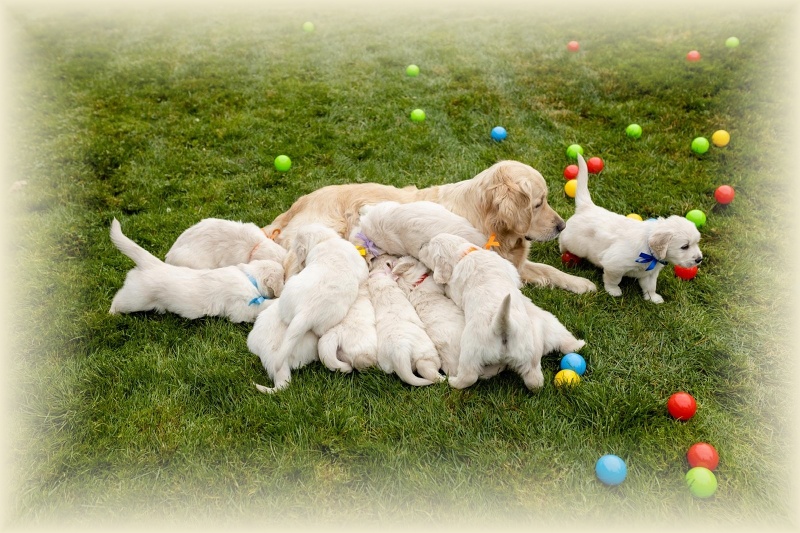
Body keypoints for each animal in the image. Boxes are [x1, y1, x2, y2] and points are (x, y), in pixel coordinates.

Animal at [108, 219, 283, 323]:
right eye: (283, 277)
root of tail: (153, 264)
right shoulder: (241, 309)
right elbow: (261, 306)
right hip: (136, 298)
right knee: (119, 299)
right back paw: (111, 313)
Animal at [263, 161, 596, 293]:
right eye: (538, 203)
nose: (562, 226)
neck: (487, 221)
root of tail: (299, 201)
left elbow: (548, 270)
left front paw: (580, 283)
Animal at [368, 254, 443, 387]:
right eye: (389, 262)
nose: (375, 257)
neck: (382, 286)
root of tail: (399, 354)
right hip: (427, 353)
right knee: (427, 369)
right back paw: (443, 379)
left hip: (387, 365)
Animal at [419, 233, 583, 390]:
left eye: (428, 247)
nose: (420, 246)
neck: (465, 253)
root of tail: (503, 326)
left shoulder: (455, 288)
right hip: (529, 350)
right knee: (535, 378)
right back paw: (578, 345)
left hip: (470, 351)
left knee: (469, 376)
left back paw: (454, 382)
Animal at [558, 154, 703, 303]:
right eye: (685, 246)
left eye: (696, 243)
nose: (699, 259)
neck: (649, 251)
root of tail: (587, 206)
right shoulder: (614, 265)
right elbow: (613, 279)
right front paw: (613, 291)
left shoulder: (650, 273)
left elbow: (650, 286)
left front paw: (653, 298)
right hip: (575, 244)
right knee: (563, 238)